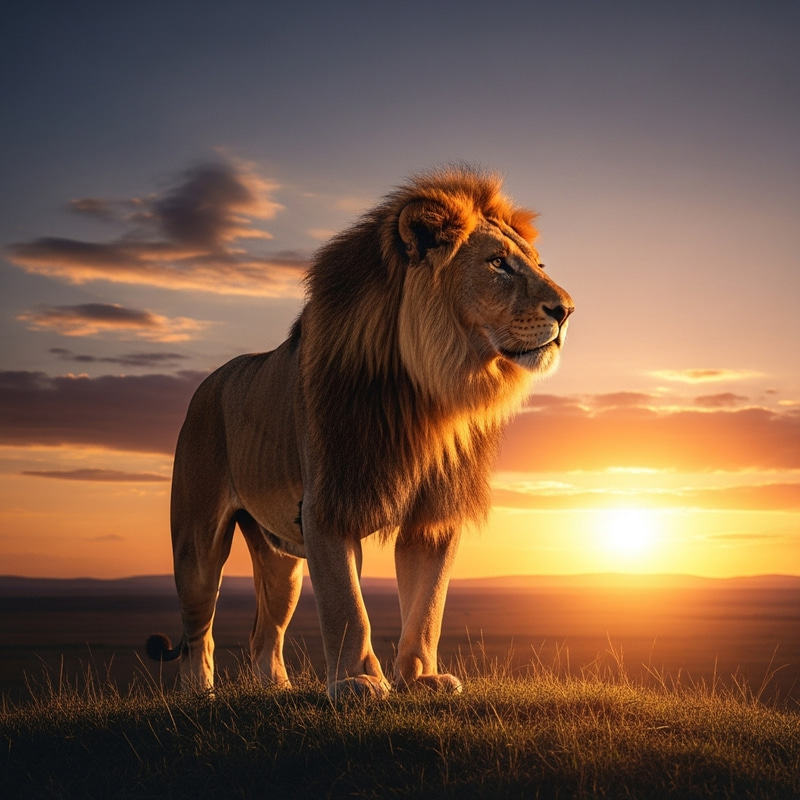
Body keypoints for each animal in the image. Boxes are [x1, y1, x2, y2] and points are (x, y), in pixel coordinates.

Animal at [147, 166, 574, 698]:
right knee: (197, 631)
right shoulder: (327, 504)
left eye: (537, 264)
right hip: (198, 542)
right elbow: (347, 605)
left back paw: (277, 690)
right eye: (498, 264)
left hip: (280, 559)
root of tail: (210, 381)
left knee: (264, 632)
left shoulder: (434, 514)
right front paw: (358, 681)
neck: (428, 393)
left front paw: (420, 678)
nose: (567, 310)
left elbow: (427, 606)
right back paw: (198, 694)